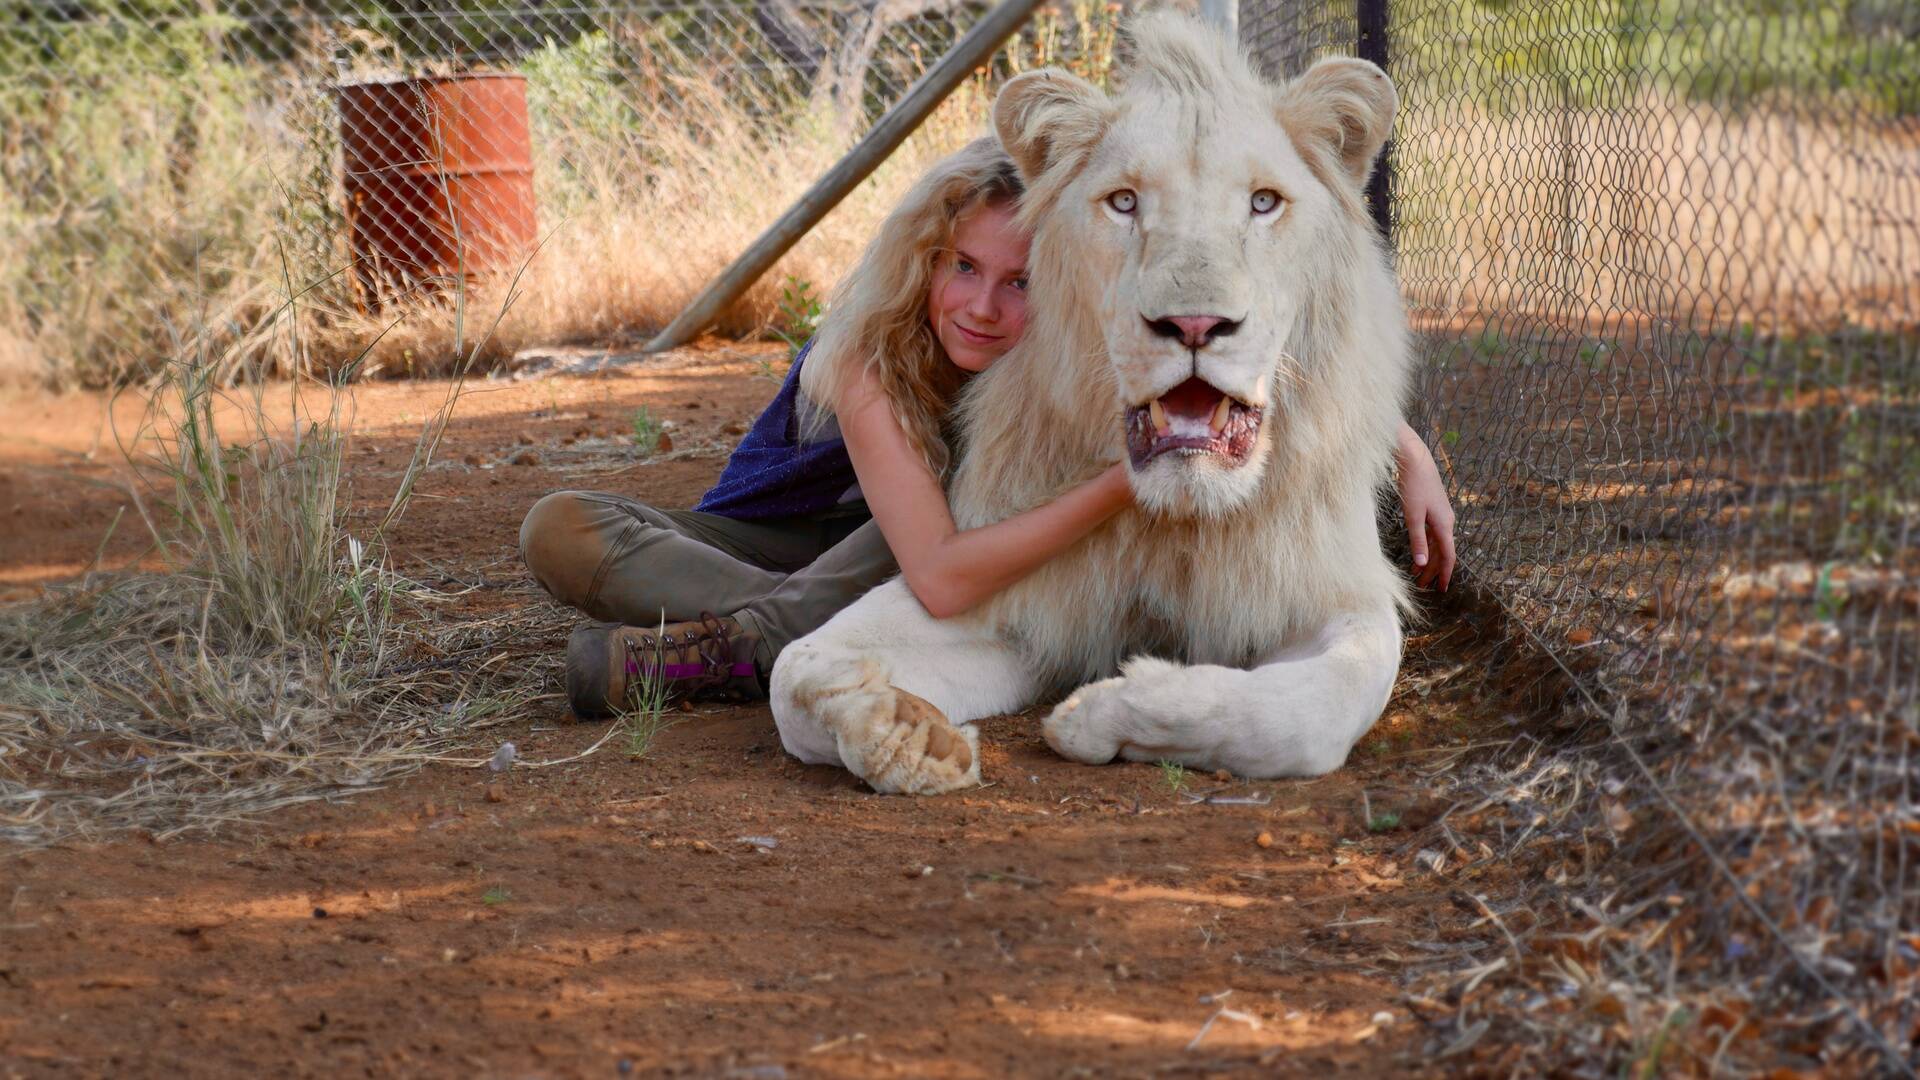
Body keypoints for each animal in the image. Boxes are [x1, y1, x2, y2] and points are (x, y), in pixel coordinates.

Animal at [764, 12, 1413, 795]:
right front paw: (903, 732)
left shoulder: (1334, 593)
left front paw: (1104, 711)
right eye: (1125, 202)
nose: (1194, 324)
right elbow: (795, 669)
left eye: (1263, 202)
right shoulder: (1009, 591)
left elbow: (1309, 712)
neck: (1174, 520)